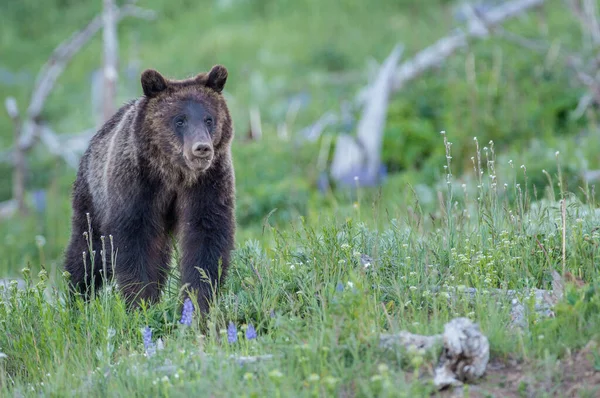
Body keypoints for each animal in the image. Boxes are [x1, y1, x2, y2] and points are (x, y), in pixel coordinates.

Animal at [63, 63, 237, 316]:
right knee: (88, 250)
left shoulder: (207, 184)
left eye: (208, 119)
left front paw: (197, 302)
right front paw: (140, 302)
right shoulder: (138, 185)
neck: (174, 174)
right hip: (92, 197)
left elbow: (206, 238)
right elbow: (134, 242)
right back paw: (77, 299)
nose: (201, 148)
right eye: (180, 120)